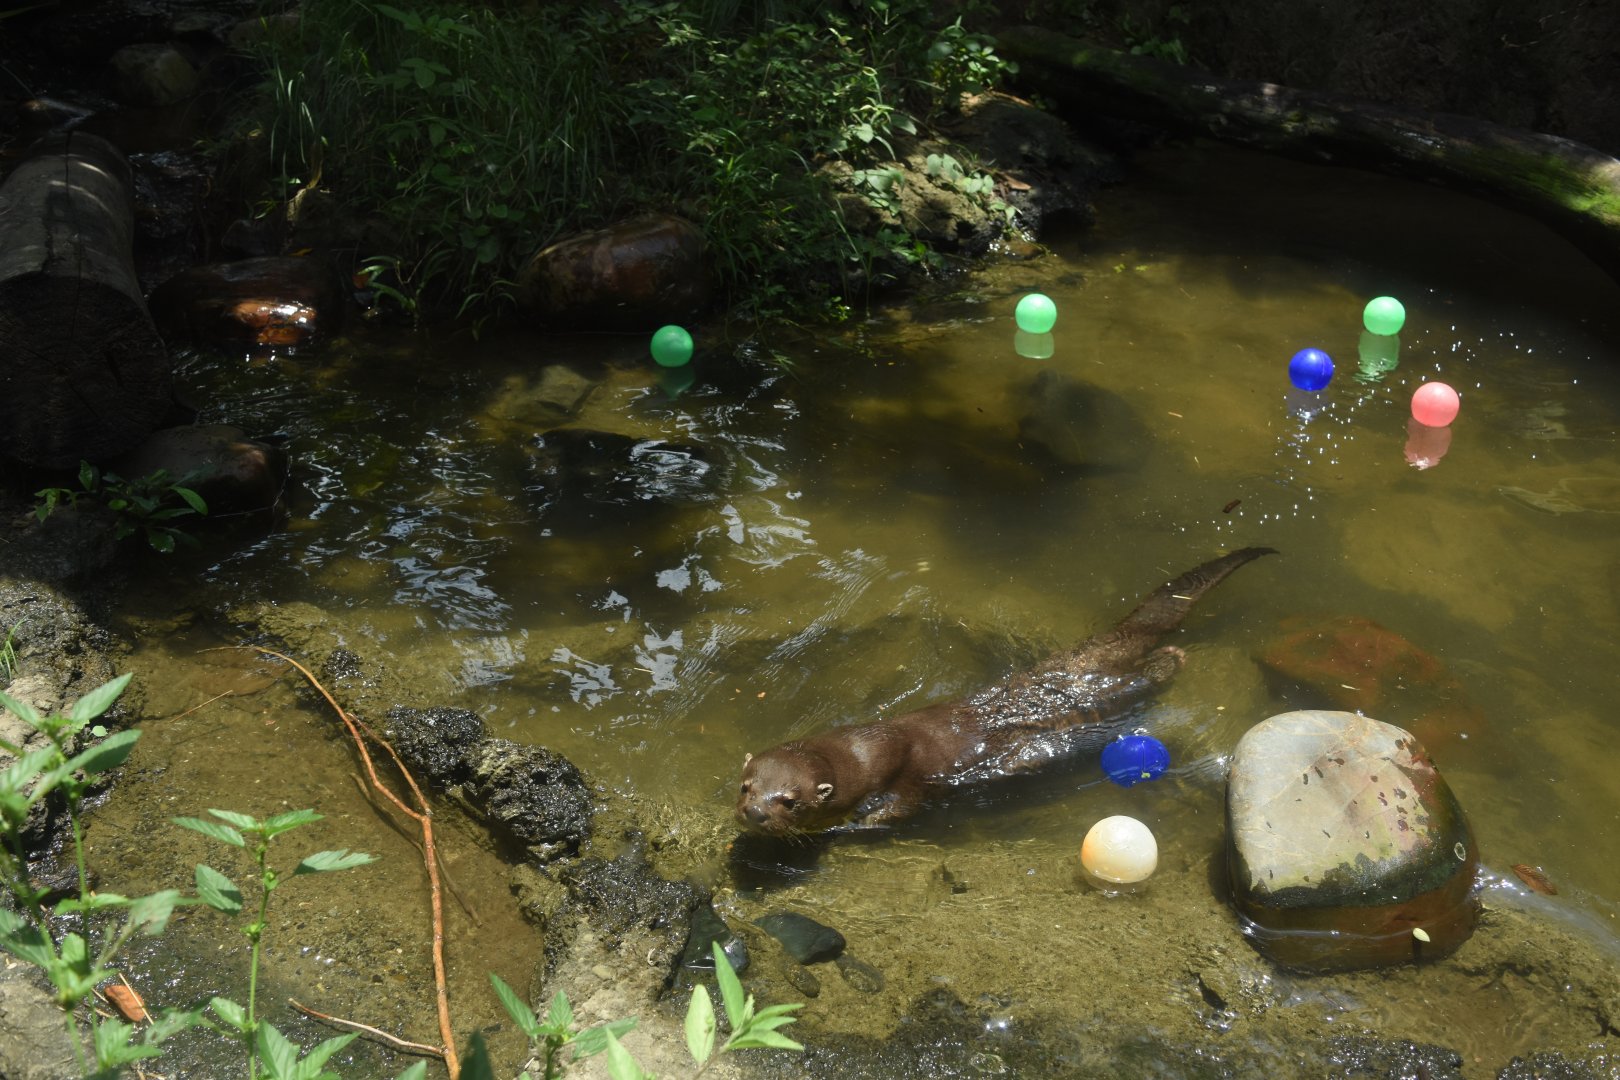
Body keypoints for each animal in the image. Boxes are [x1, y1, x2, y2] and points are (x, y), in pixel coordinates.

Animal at [735, 547, 1276, 835]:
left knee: (1155, 670)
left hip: (1118, 690)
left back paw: (1176, 658)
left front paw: (855, 827)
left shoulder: (911, 781)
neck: (863, 751)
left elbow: (897, 809)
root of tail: (1086, 657)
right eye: (747, 787)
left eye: (790, 801)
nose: (755, 813)